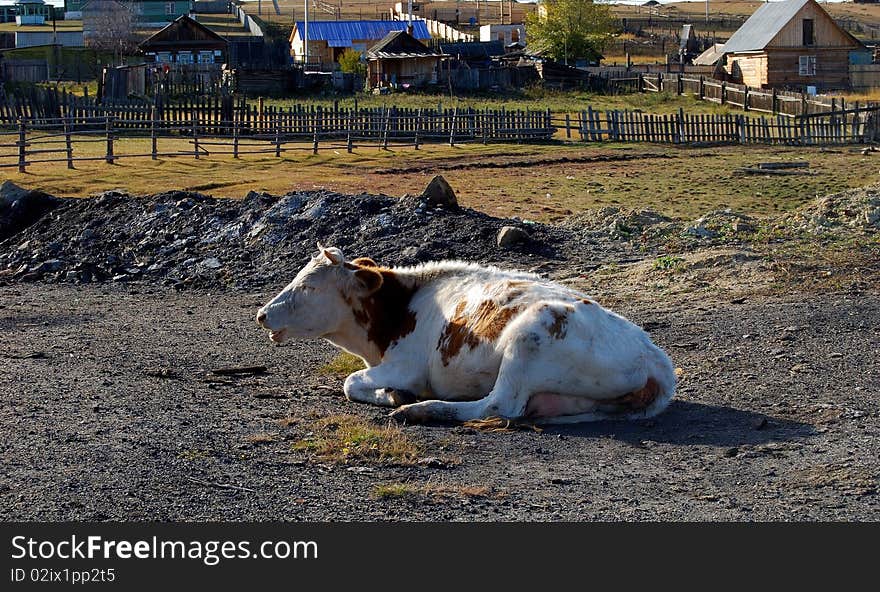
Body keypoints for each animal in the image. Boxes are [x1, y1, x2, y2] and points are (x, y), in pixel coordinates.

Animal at [258, 243, 676, 424]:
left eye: (310, 286)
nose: (262, 315)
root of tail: (654, 355)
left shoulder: (406, 366)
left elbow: (350, 382)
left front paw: (395, 395)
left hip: (529, 336)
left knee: (498, 406)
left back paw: (422, 410)